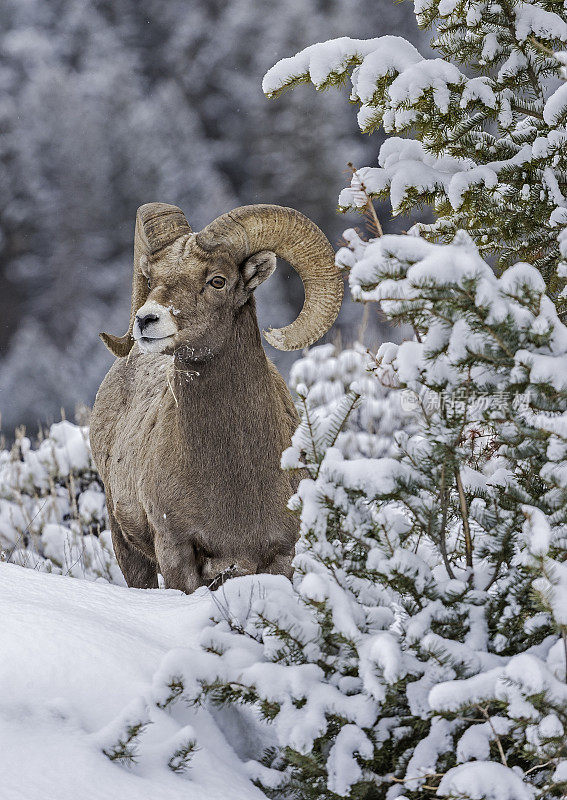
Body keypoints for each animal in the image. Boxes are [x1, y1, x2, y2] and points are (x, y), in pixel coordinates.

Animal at [91, 203, 344, 592]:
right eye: (151, 277)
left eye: (218, 281)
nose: (146, 320)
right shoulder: (176, 551)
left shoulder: (281, 556)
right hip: (127, 548)